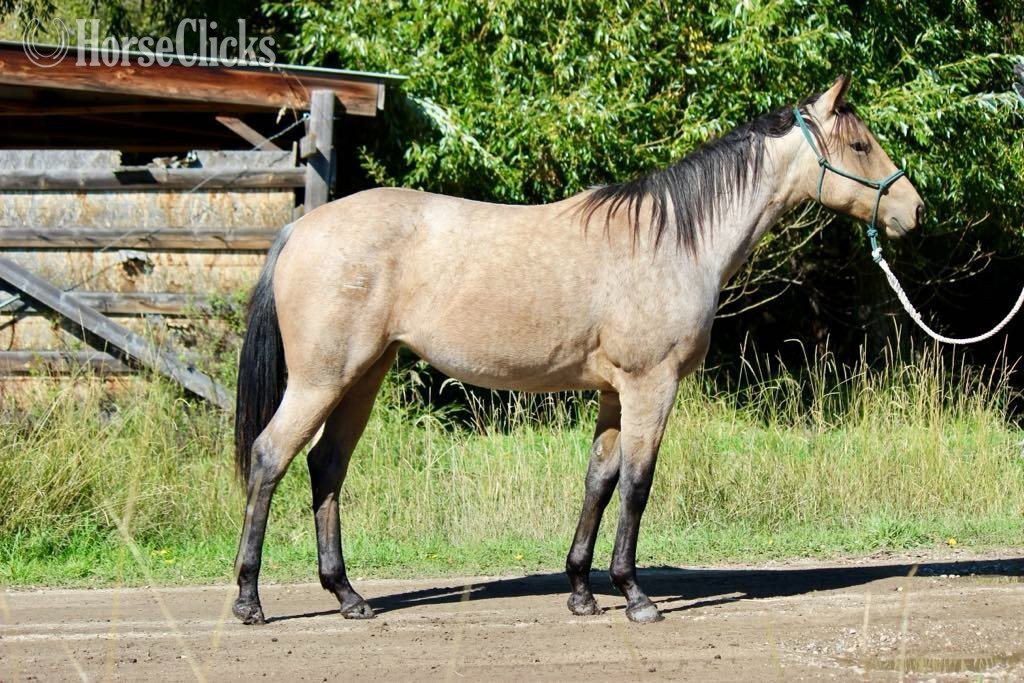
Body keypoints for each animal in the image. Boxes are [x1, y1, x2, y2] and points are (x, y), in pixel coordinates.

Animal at [230, 75, 924, 625]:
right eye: (860, 145)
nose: (913, 210)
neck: (673, 240)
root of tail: (299, 228)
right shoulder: (651, 386)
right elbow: (638, 484)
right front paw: (635, 595)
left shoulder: (616, 395)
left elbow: (599, 480)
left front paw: (582, 591)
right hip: (322, 379)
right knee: (270, 458)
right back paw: (249, 600)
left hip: (363, 376)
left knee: (327, 467)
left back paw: (348, 596)